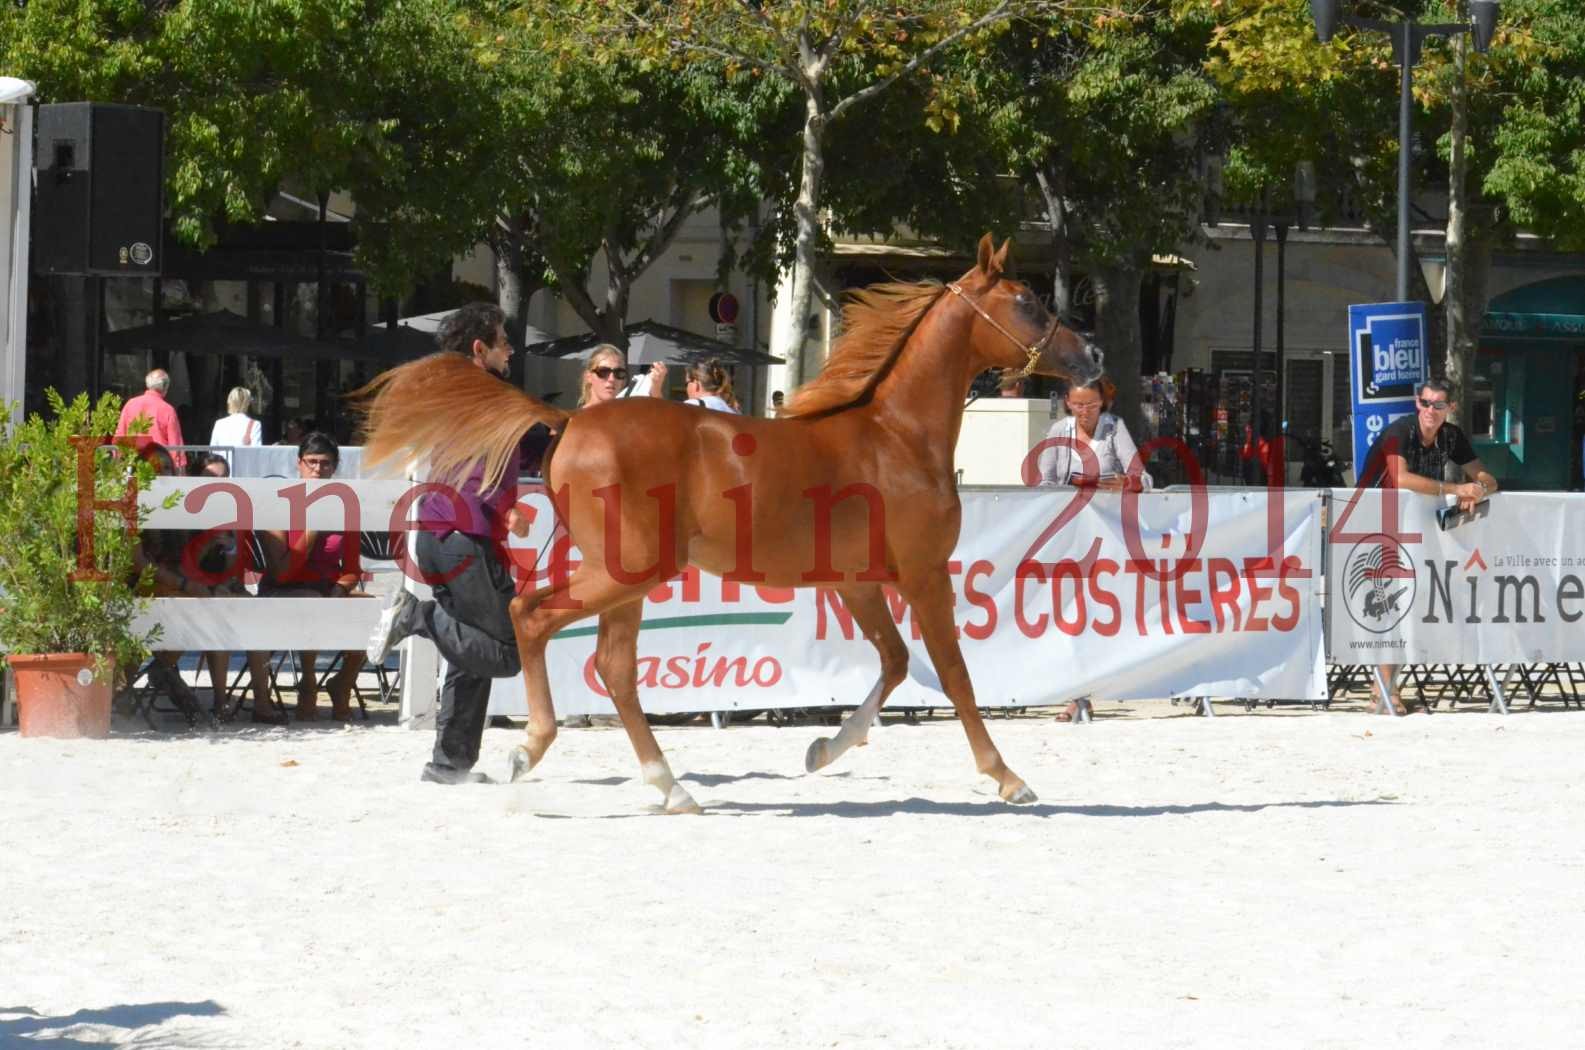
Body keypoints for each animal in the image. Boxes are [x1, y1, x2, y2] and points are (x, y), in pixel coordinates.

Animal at [358, 236, 1103, 812]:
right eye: (1029, 303)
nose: (1092, 358)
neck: (895, 436)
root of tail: (568, 422)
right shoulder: (923, 576)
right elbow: (952, 674)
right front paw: (1008, 779)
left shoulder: (860, 583)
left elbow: (893, 665)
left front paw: (821, 750)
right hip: (627, 570)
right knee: (531, 617)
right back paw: (526, 746)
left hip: (627, 582)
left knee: (612, 666)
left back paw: (671, 787)